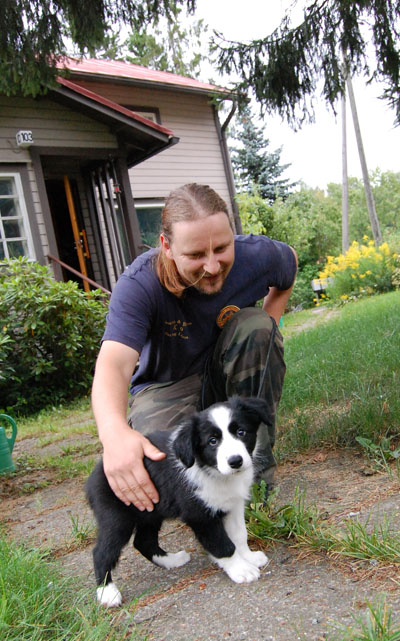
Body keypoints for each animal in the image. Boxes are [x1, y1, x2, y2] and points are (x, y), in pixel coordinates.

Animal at [85, 396, 270, 607]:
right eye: (212, 441)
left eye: (241, 432)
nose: (235, 461)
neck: (213, 472)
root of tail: (95, 474)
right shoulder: (199, 516)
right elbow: (222, 544)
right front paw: (241, 569)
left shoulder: (232, 505)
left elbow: (239, 535)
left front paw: (249, 557)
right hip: (117, 518)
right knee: (101, 552)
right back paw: (107, 593)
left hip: (149, 511)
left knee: (143, 542)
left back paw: (171, 561)